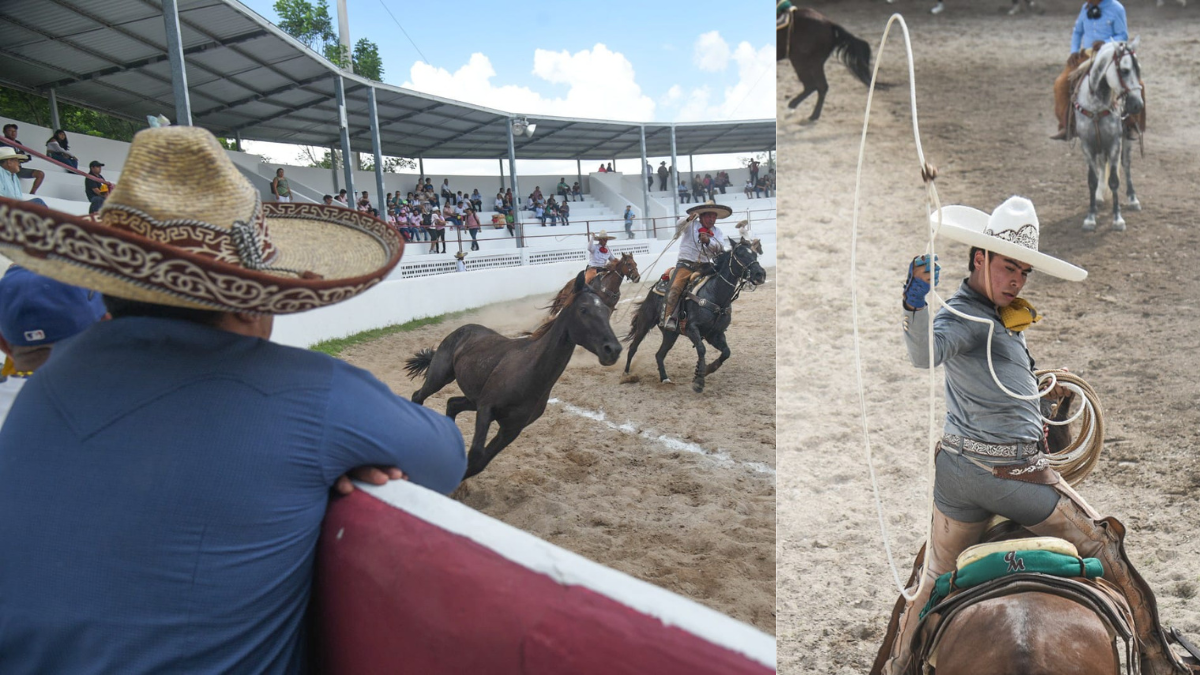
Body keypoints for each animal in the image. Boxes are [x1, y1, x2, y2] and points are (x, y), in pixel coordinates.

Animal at [408, 270, 624, 475]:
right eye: (583, 309)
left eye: (607, 310)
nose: (613, 350)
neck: (528, 373)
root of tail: (462, 329)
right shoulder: (486, 409)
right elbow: (476, 453)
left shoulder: (511, 430)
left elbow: (478, 462)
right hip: (440, 377)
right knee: (418, 396)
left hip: (472, 399)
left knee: (452, 404)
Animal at [624, 237, 763, 391]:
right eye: (740, 254)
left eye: (755, 254)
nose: (760, 274)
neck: (715, 295)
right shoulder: (691, 329)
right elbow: (701, 349)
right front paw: (699, 380)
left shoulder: (714, 334)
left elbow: (726, 352)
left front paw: (707, 369)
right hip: (645, 323)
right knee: (633, 347)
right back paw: (626, 374)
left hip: (670, 334)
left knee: (659, 354)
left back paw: (665, 378)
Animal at [1075, 37, 1147, 230]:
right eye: (1124, 70)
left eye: (1139, 69)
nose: (1138, 104)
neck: (1096, 106)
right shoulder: (1087, 145)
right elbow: (1092, 180)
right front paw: (1090, 216)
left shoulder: (1115, 143)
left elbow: (1114, 180)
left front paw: (1117, 218)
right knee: (1101, 165)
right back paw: (1100, 196)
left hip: (1125, 140)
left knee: (1126, 165)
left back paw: (1133, 199)